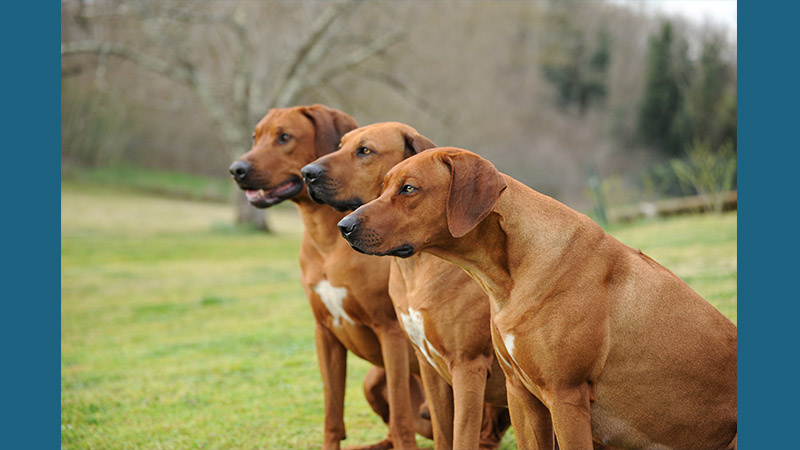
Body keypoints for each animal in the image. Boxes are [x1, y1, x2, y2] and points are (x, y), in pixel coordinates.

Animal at [228, 105, 432, 450]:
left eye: (285, 137)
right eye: (256, 137)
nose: (236, 169)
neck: (328, 242)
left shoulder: (390, 333)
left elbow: (402, 419)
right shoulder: (324, 333)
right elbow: (332, 415)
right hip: (371, 381)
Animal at [300, 123, 512, 450]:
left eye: (365, 150)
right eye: (340, 145)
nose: (306, 173)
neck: (417, 269)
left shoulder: (466, 366)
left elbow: (454, 435)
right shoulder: (426, 364)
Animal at [336, 149, 736, 450]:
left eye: (408, 188)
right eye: (384, 186)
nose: (344, 226)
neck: (508, 277)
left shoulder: (566, 397)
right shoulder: (521, 395)